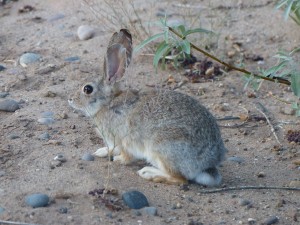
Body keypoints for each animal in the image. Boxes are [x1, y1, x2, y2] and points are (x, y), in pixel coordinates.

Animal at [68, 28, 227, 186]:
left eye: (87, 89)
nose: (70, 99)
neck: (107, 103)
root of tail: (206, 164)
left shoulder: (121, 140)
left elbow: (125, 155)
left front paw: (118, 159)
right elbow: (111, 149)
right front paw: (101, 151)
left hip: (161, 148)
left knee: (180, 179)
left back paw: (149, 173)